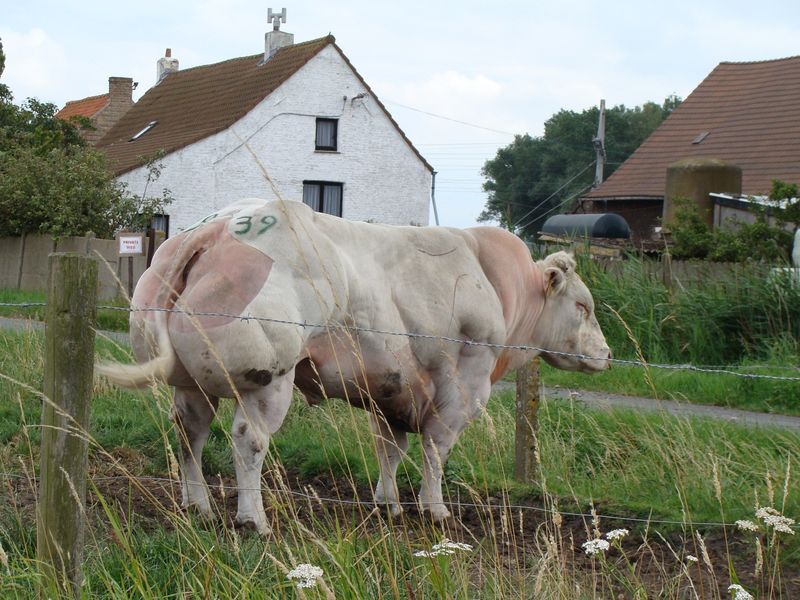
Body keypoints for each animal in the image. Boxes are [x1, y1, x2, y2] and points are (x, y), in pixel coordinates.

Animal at [98, 198, 612, 536]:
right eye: (583, 306)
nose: (607, 355)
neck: (496, 285)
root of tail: (216, 229)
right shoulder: (462, 388)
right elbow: (435, 452)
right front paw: (435, 511)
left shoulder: (394, 391)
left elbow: (391, 450)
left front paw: (389, 506)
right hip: (268, 380)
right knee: (248, 440)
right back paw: (254, 519)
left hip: (191, 383)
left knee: (191, 434)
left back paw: (198, 506)